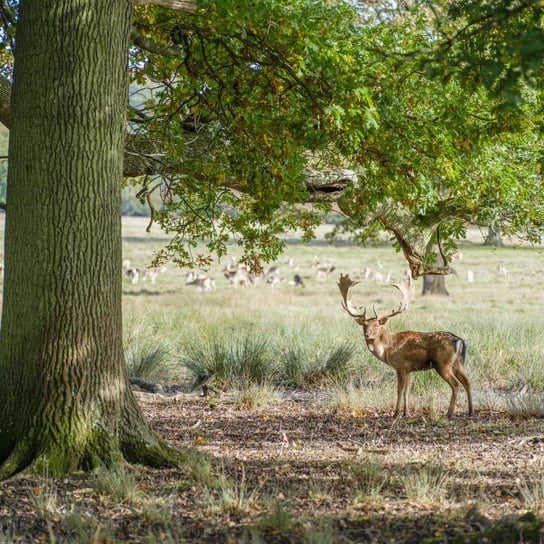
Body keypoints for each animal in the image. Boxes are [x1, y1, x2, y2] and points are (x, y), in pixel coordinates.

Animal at [338, 274, 474, 418]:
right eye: (364, 325)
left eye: (376, 325)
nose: (367, 335)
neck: (387, 348)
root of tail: (459, 340)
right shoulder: (409, 369)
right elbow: (406, 391)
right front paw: (406, 412)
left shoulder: (400, 366)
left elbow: (399, 390)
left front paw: (396, 413)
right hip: (458, 363)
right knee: (467, 382)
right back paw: (470, 411)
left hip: (443, 364)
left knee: (456, 384)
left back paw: (450, 413)